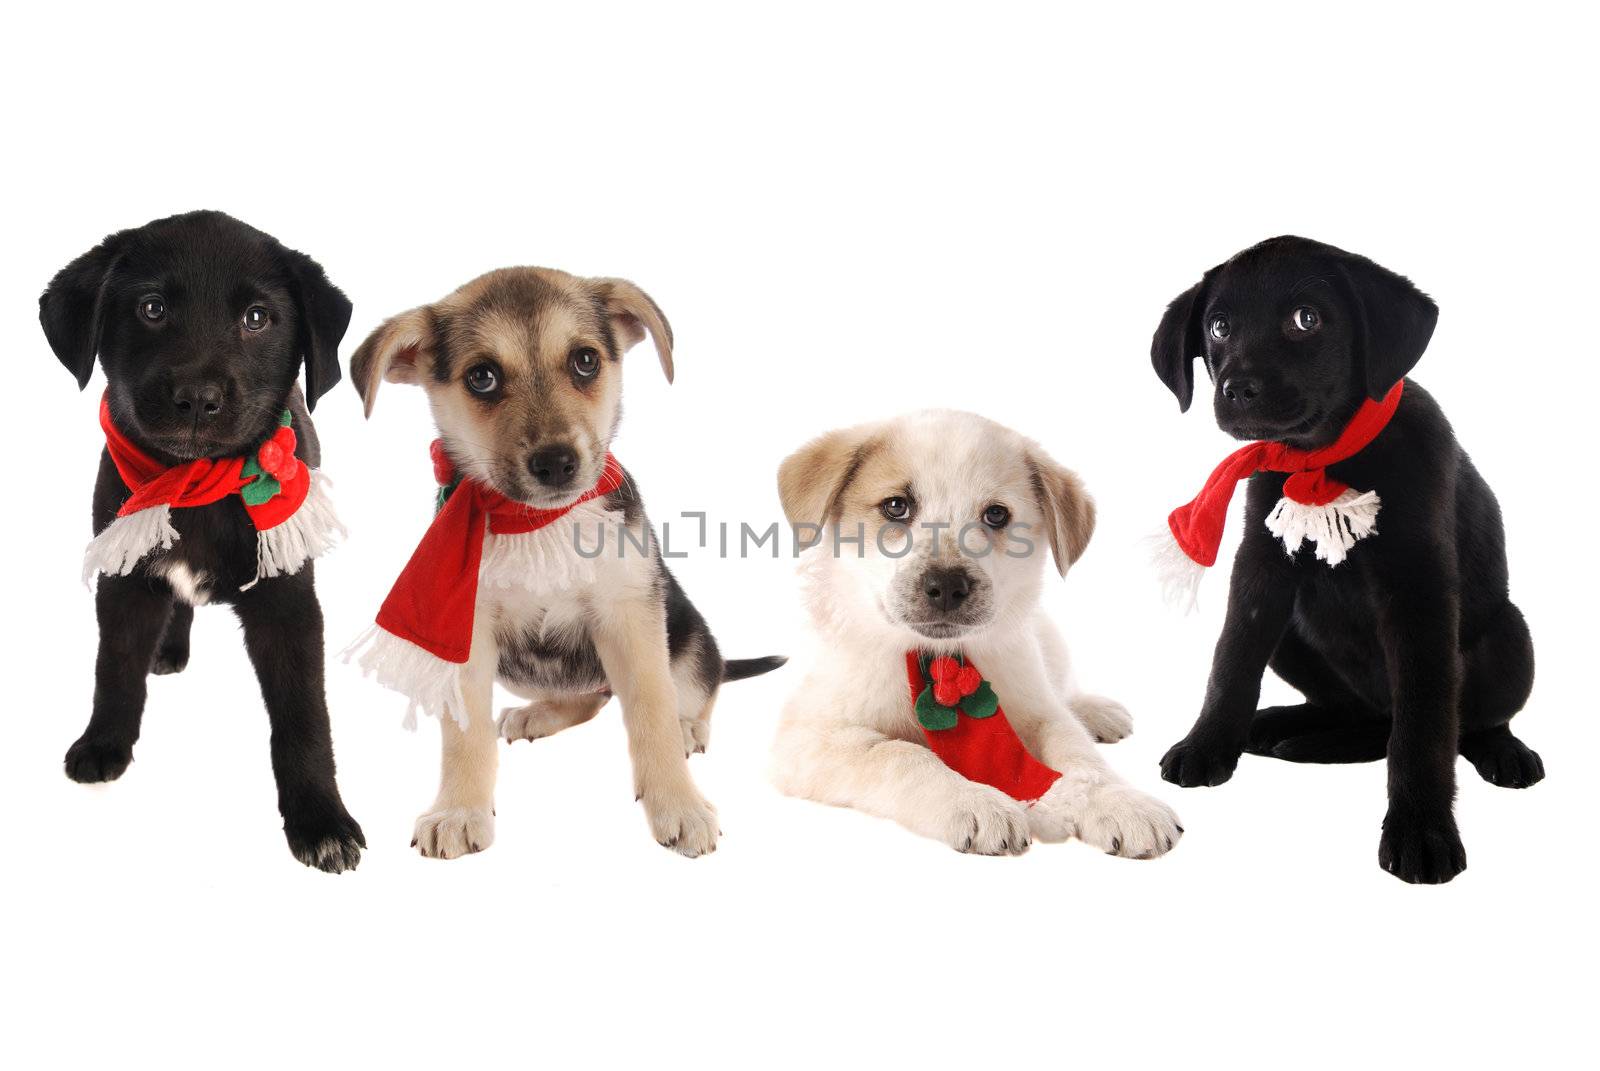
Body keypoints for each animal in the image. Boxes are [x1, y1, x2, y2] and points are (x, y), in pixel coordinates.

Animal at [38, 208, 366, 870]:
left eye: (257, 318)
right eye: (152, 308)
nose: (197, 398)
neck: (197, 488)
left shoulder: (288, 600)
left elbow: (304, 715)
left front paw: (321, 819)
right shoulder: (123, 576)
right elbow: (114, 666)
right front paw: (104, 743)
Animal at [347, 267, 784, 858]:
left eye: (585, 361)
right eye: (481, 376)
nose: (556, 462)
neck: (537, 523)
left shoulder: (630, 615)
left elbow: (651, 712)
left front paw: (680, 803)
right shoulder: (467, 630)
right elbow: (464, 734)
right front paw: (458, 810)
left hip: (687, 636)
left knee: (696, 685)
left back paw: (688, 726)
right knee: (588, 699)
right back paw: (538, 714)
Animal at [768, 409, 1184, 858]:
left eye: (996, 515)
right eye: (896, 506)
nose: (947, 586)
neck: (937, 659)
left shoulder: (1037, 711)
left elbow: (1079, 755)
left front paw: (1118, 801)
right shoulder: (810, 738)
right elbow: (902, 755)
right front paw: (975, 801)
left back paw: (1093, 710)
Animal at [1152, 235, 1536, 883]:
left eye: (1306, 319)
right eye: (1219, 327)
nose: (1236, 389)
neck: (1325, 458)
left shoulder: (1419, 590)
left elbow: (1424, 723)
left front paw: (1421, 829)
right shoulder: (1259, 570)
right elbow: (1231, 662)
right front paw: (1207, 744)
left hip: (1511, 635)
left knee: (1454, 722)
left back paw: (1502, 750)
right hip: (1293, 638)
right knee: (1358, 715)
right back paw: (1284, 729)